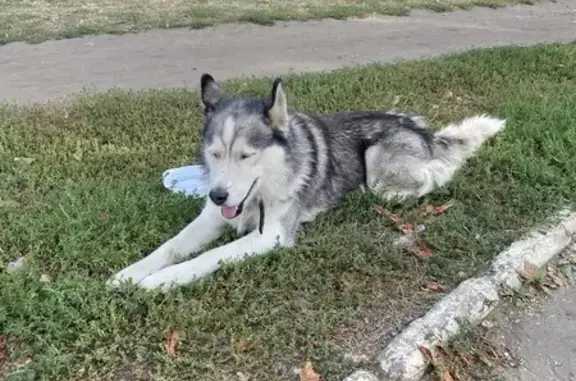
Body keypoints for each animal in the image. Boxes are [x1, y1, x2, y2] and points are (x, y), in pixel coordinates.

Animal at [107, 72, 504, 290]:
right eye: (216, 153)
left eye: (246, 156)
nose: (218, 196)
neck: (261, 193)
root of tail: (424, 131)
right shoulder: (210, 219)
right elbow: (169, 247)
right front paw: (128, 275)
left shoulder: (270, 236)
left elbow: (206, 258)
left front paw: (158, 282)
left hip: (378, 163)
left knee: (436, 173)